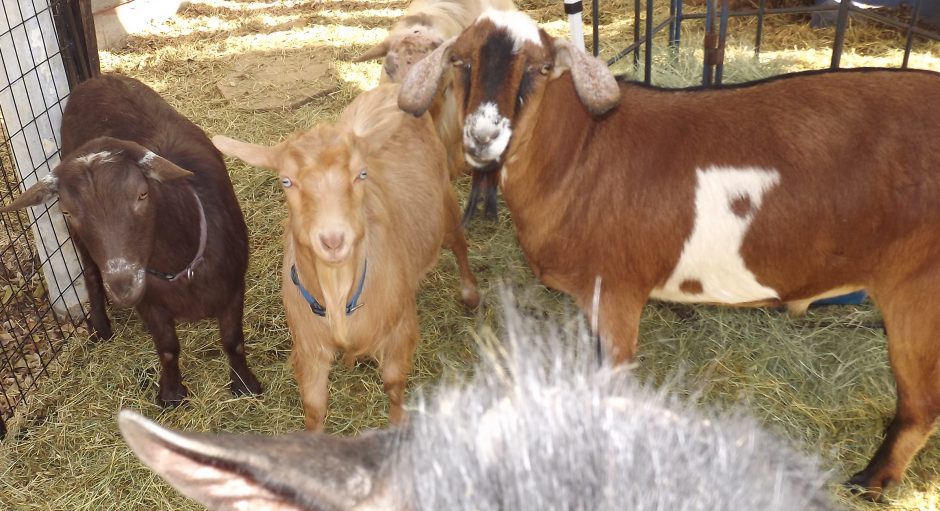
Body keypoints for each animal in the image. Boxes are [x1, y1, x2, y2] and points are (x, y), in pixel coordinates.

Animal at [0, 74, 262, 406]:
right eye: (67, 210)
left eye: (142, 194)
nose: (123, 285)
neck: (179, 265)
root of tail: (96, 78)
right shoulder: (149, 302)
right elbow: (167, 349)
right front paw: (171, 394)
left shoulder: (233, 285)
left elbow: (233, 342)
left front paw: (245, 386)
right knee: (90, 273)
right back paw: (100, 326)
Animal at [212, 83, 479, 431]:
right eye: (286, 181)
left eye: (361, 174)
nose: (333, 239)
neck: (338, 292)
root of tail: (390, 87)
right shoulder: (309, 348)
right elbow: (313, 408)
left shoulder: (400, 332)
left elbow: (394, 384)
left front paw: (397, 424)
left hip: (445, 203)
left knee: (459, 243)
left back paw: (470, 293)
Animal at [397, 9, 940, 500]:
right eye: (461, 61)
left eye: (539, 68)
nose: (483, 137)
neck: (581, 151)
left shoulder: (617, 292)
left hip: (916, 292)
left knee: (920, 406)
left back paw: (872, 482)